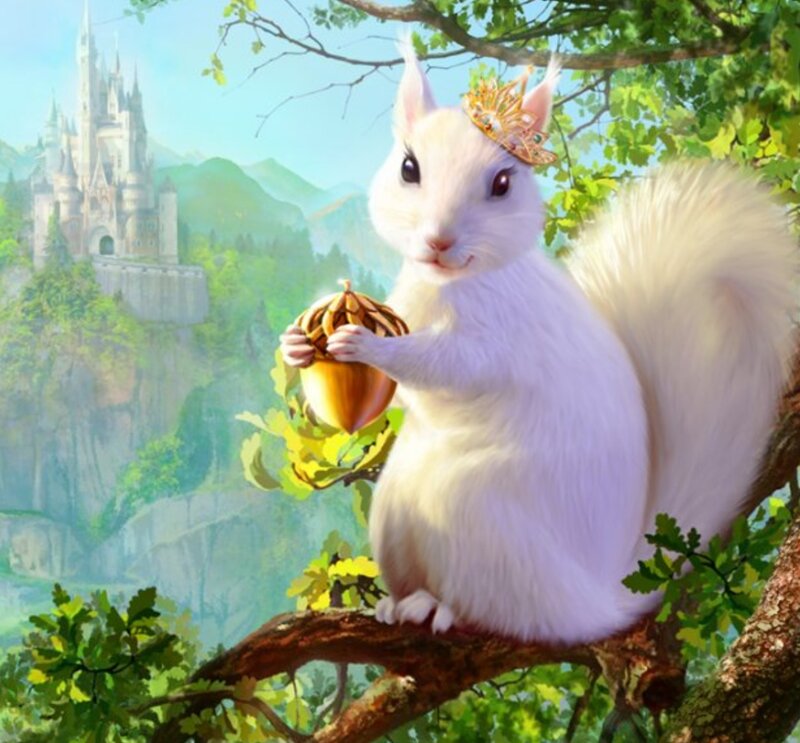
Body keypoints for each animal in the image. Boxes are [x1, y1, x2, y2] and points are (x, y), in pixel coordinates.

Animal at [280, 45, 798, 643]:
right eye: (408, 168)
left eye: (503, 182)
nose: (438, 241)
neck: (448, 285)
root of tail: (597, 603)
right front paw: (295, 345)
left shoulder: (503, 333)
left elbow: (454, 365)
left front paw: (371, 347)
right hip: (395, 510)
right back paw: (399, 602)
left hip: (475, 518)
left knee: (504, 612)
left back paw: (442, 610)